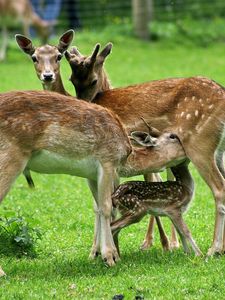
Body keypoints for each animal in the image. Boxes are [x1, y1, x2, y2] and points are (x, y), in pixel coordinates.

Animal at [0, 89, 186, 268]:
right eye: (173, 136)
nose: (188, 151)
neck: (125, 157)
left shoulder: (90, 175)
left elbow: (99, 208)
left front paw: (106, 255)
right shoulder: (107, 161)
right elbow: (106, 207)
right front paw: (109, 257)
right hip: (11, 157)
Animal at [65, 43, 225, 256]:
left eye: (94, 81)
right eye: (71, 80)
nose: (83, 104)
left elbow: (101, 205)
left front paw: (101, 252)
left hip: (201, 146)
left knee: (219, 188)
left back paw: (213, 249)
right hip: (220, 152)